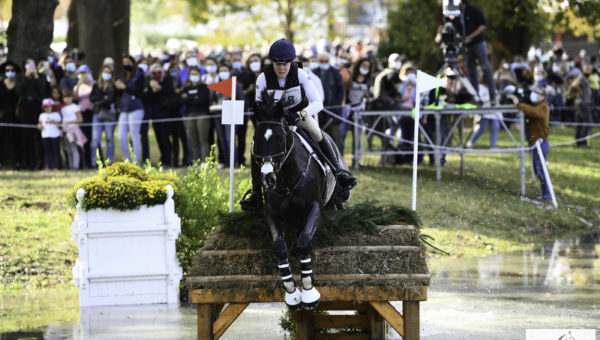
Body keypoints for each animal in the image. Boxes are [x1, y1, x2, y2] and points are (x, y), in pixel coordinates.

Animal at [250, 91, 352, 310]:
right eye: (256, 139)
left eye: (280, 138)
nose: (267, 180)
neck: (287, 180)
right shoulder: (272, 213)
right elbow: (279, 247)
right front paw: (292, 293)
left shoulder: (315, 208)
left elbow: (303, 241)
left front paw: (308, 291)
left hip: (336, 199)